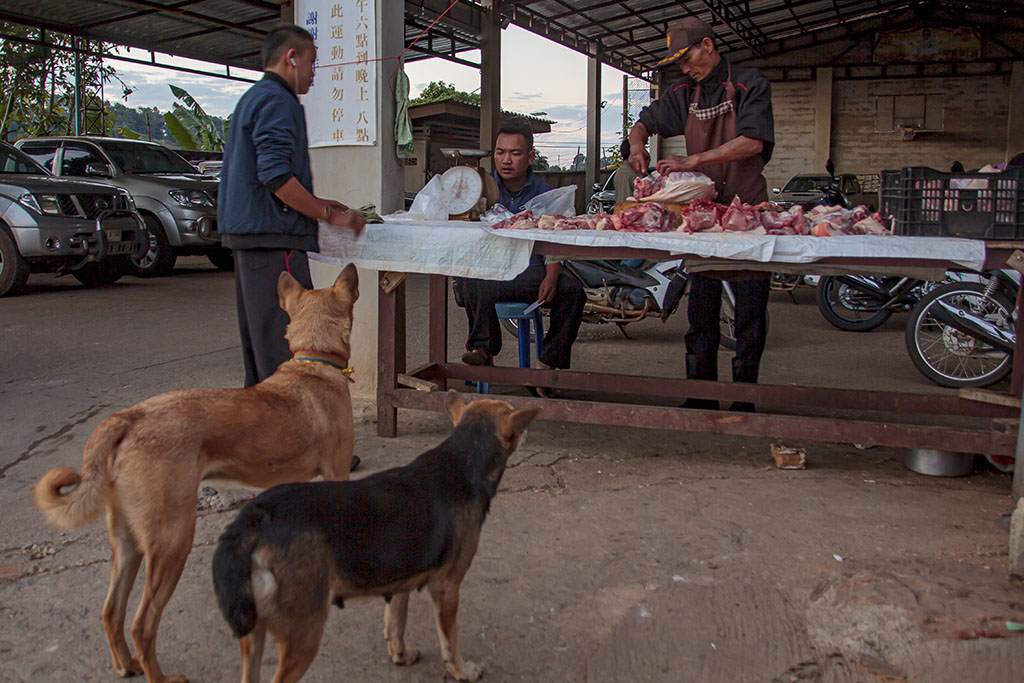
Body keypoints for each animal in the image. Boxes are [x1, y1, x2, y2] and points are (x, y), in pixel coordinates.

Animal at [33, 264, 360, 683]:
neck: (314, 364)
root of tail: (129, 417)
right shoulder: (336, 471)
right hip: (172, 541)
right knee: (142, 624)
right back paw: (159, 675)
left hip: (127, 543)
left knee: (111, 612)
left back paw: (126, 665)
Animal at [211, 389, 540, 683]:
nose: (529, 433)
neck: (462, 459)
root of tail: (255, 518)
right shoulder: (446, 588)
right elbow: (450, 642)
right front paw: (462, 671)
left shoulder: (399, 582)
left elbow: (396, 626)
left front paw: (401, 656)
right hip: (303, 635)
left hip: (254, 634)